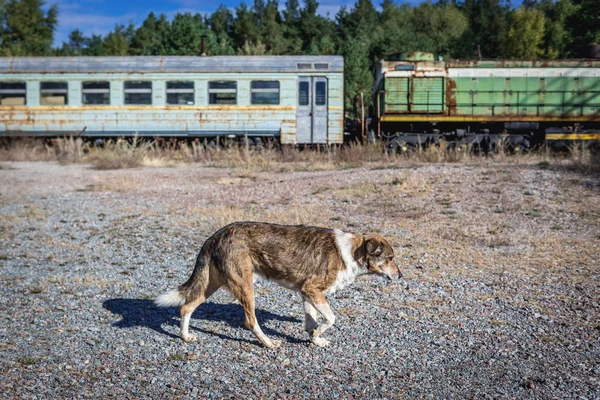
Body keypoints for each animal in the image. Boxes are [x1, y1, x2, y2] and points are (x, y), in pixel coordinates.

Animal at [155, 220, 400, 348]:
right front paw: (319, 333)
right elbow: (331, 318)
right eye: (390, 258)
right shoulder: (313, 290)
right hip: (245, 286)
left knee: (186, 306)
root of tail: (216, 234)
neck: (350, 251)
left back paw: (185, 336)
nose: (400, 276)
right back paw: (268, 343)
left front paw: (315, 338)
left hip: (211, 284)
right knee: (250, 321)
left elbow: (311, 321)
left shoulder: (306, 293)